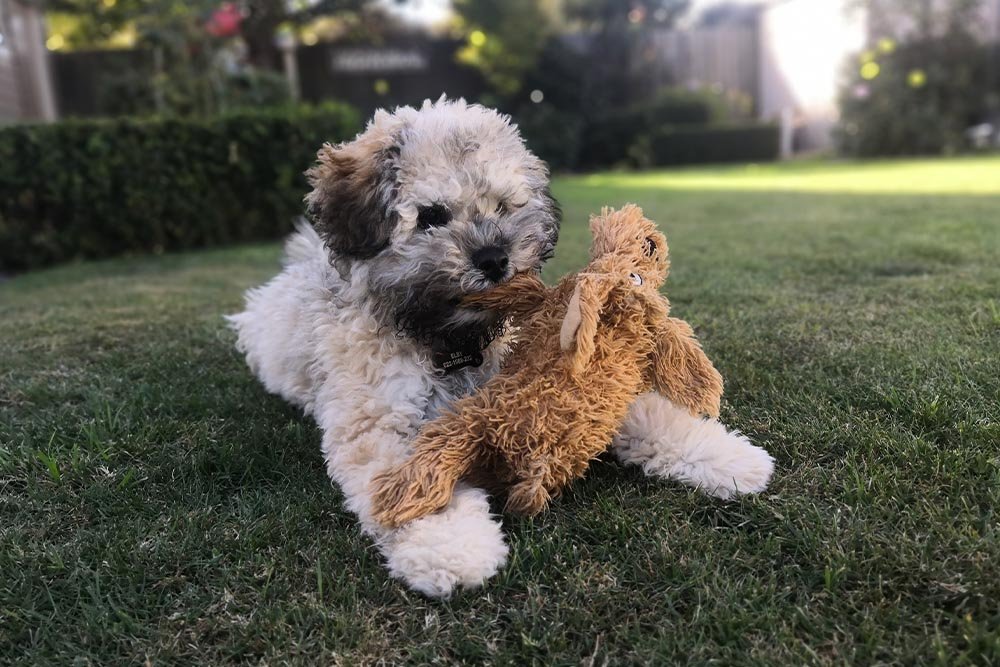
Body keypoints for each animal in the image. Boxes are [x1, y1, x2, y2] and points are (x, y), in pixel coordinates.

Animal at [230, 96, 776, 596]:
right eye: (431, 216)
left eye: (501, 206)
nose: (494, 258)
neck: (450, 338)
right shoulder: (378, 422)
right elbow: (416, 484)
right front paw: (451, 549)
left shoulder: (544, 377)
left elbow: (641, 412)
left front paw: (729, 458)